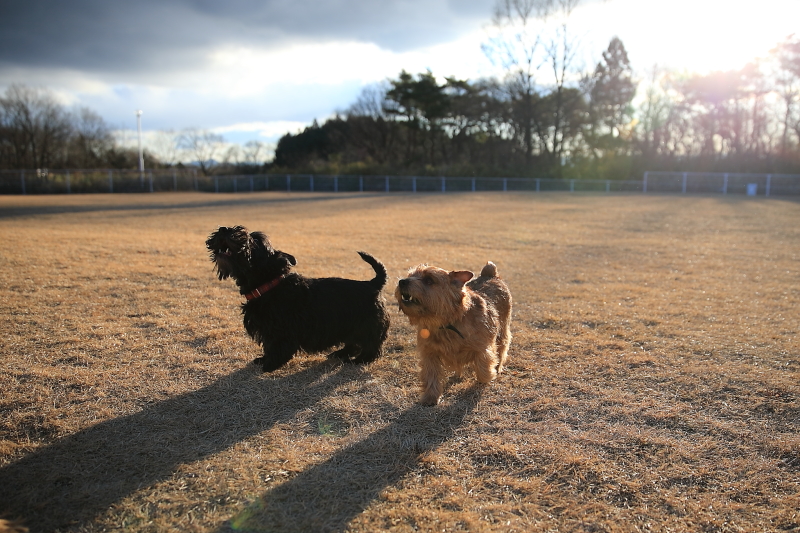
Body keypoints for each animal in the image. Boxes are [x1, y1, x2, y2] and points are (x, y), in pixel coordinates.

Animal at [205, 224, 390, 370]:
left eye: (256, 241)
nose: (223, 229)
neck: (269, 285)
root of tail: (372, 284)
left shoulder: (281, 331)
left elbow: (277, 348)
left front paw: (270, 365)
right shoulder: (268, 330)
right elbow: (268, 346)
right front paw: (264, 359)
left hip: (366, 327)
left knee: (371, 346)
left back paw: (359, 360)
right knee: (353, 343)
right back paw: (340, 353)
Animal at [394, 260, 512, 404]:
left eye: (429, 280)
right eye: (410, 275)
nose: (402, 281)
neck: (445, 323)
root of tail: (489, 275)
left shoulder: (483, 348)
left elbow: (484, 369)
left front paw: (487, 378)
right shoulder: (429, 354)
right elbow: (431, 376)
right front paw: (430, 398)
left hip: (503, 329)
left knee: (502, 347)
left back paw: (498, 367)